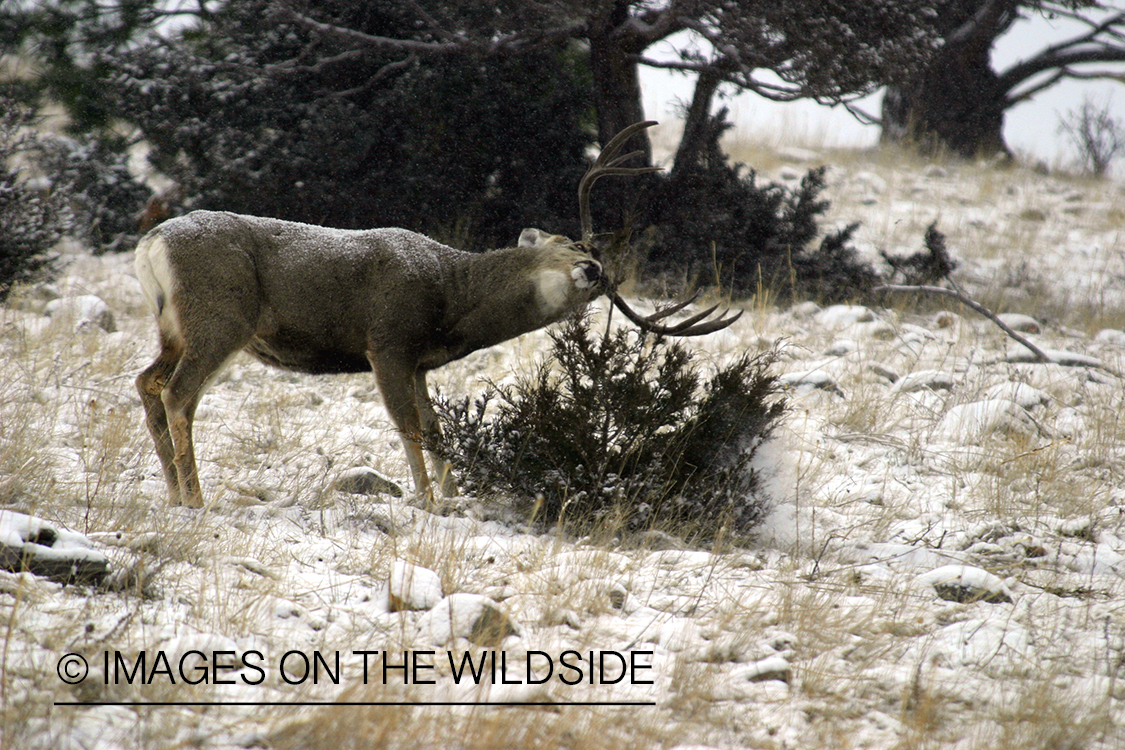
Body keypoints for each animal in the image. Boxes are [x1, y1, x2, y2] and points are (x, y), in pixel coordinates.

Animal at [134, 121, 741, 508]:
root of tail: (152, 242)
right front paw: (427, 500)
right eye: (571, 245)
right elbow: (408, 427)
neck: (451, 292)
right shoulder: (387, 339)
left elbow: (434, 429)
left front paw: (452, 496)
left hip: (175, 329)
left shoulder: (421, 363)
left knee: (147, 382)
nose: (592, 271)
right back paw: (197, 499)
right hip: (221, 317)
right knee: (179, 393)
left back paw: (173, 492)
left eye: (606, 286)